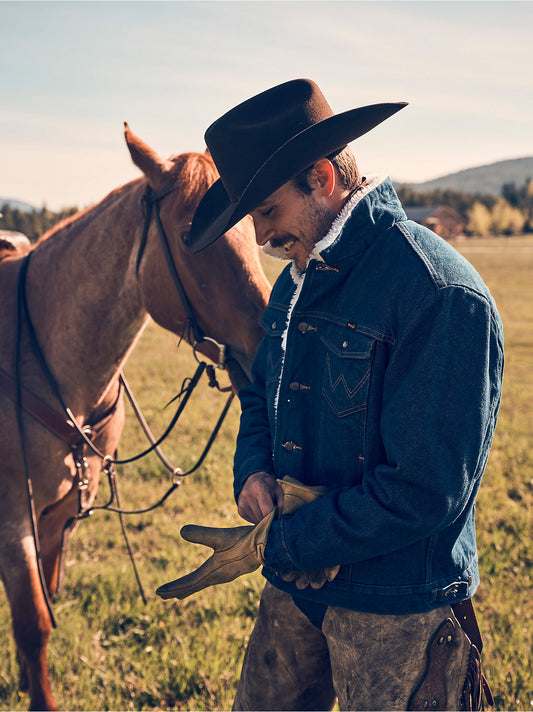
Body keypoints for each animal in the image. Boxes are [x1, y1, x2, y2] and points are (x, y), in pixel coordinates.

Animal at [0, 125, 268, 708]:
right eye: (190, 233)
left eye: (251, 227)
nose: (270, 343)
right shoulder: (14, 523)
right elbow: (32, 622)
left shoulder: (55, 518)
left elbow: (42, 608)